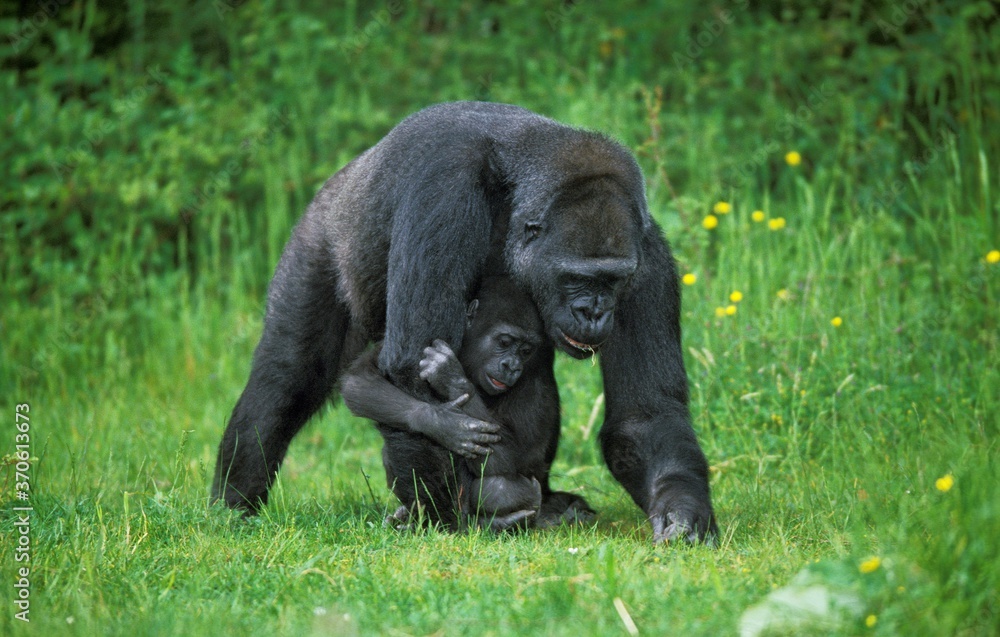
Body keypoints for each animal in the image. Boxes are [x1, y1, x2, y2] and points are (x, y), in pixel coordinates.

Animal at [340, 276, 568, 528]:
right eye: (505, 342)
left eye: (526, 351)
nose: (512, 366)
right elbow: (361, 379)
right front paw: (443, 423)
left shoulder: (535, 379)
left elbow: (516, 459)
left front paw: (454, 380)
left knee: (502, 487)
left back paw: (491, 523)